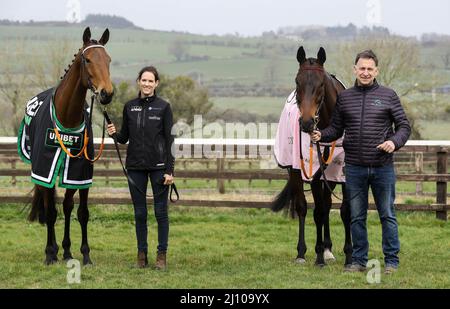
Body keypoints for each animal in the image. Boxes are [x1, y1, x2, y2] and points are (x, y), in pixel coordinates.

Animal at [21, 27, 113, 264]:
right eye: (88, 60)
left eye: (108, 60)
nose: (107, 94)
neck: (67, 118)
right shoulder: (45, 170)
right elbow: (51, 212)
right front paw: (50, 253)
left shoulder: (80, 173)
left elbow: (81, 212)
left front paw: (84, 254)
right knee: (49, 208)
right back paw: (53, 250)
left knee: (67, 206)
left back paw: (66, 250)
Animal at [272, 46, 354, 268]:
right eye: (297, 82)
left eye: (321, 84)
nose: (307, 123)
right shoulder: (314, 173)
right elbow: (315, 212)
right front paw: (317, 257)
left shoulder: (343, 174)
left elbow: (344, 211)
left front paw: (348, 254)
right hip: (295, 170)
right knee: (304, 207)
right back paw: (304, 252)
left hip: (330, 177)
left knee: (326, 205)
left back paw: (328, 249)